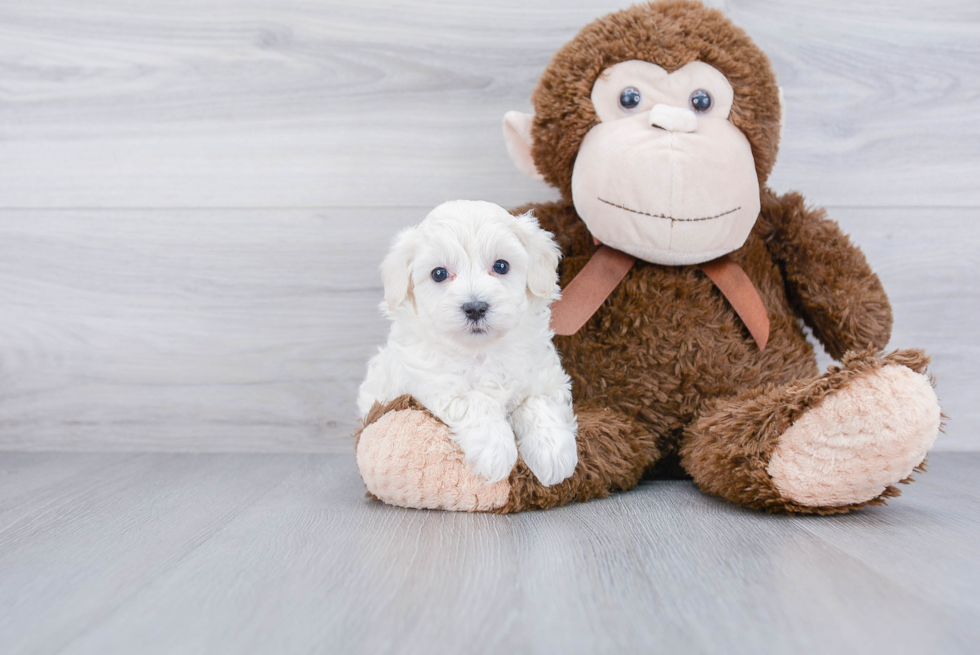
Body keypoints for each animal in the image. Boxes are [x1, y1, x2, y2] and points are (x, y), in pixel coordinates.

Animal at [358, 200, 580, 486]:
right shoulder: (437, 386)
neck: (481, 351)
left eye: (501, 266)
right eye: (439, 274)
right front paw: (496, 453)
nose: (475, 308)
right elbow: (477, 400)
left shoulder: (545, 378)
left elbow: (539, 404)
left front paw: (554, 454)